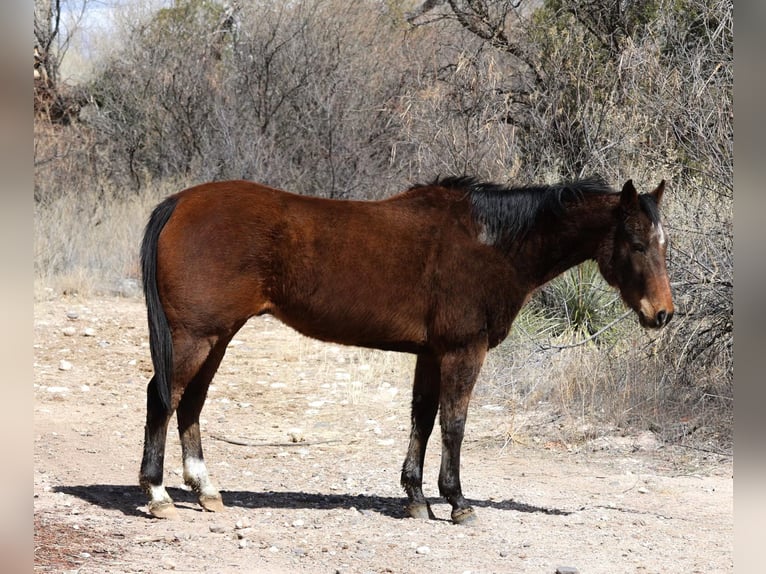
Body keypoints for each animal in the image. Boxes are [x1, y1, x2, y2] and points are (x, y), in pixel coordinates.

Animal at [138, 175, 673, 523]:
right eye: (637, 243)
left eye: (662, 244)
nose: (663, 314)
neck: (491, 244)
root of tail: (180, 202)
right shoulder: (462, 350)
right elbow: (454, 424)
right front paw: (457, 502)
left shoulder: (431, 354)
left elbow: (422, 418)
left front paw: (416, 498)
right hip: (195, 337)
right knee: (162, 399)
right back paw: (159, 495)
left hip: (218, 337)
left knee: (192, 402)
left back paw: (206, 491)